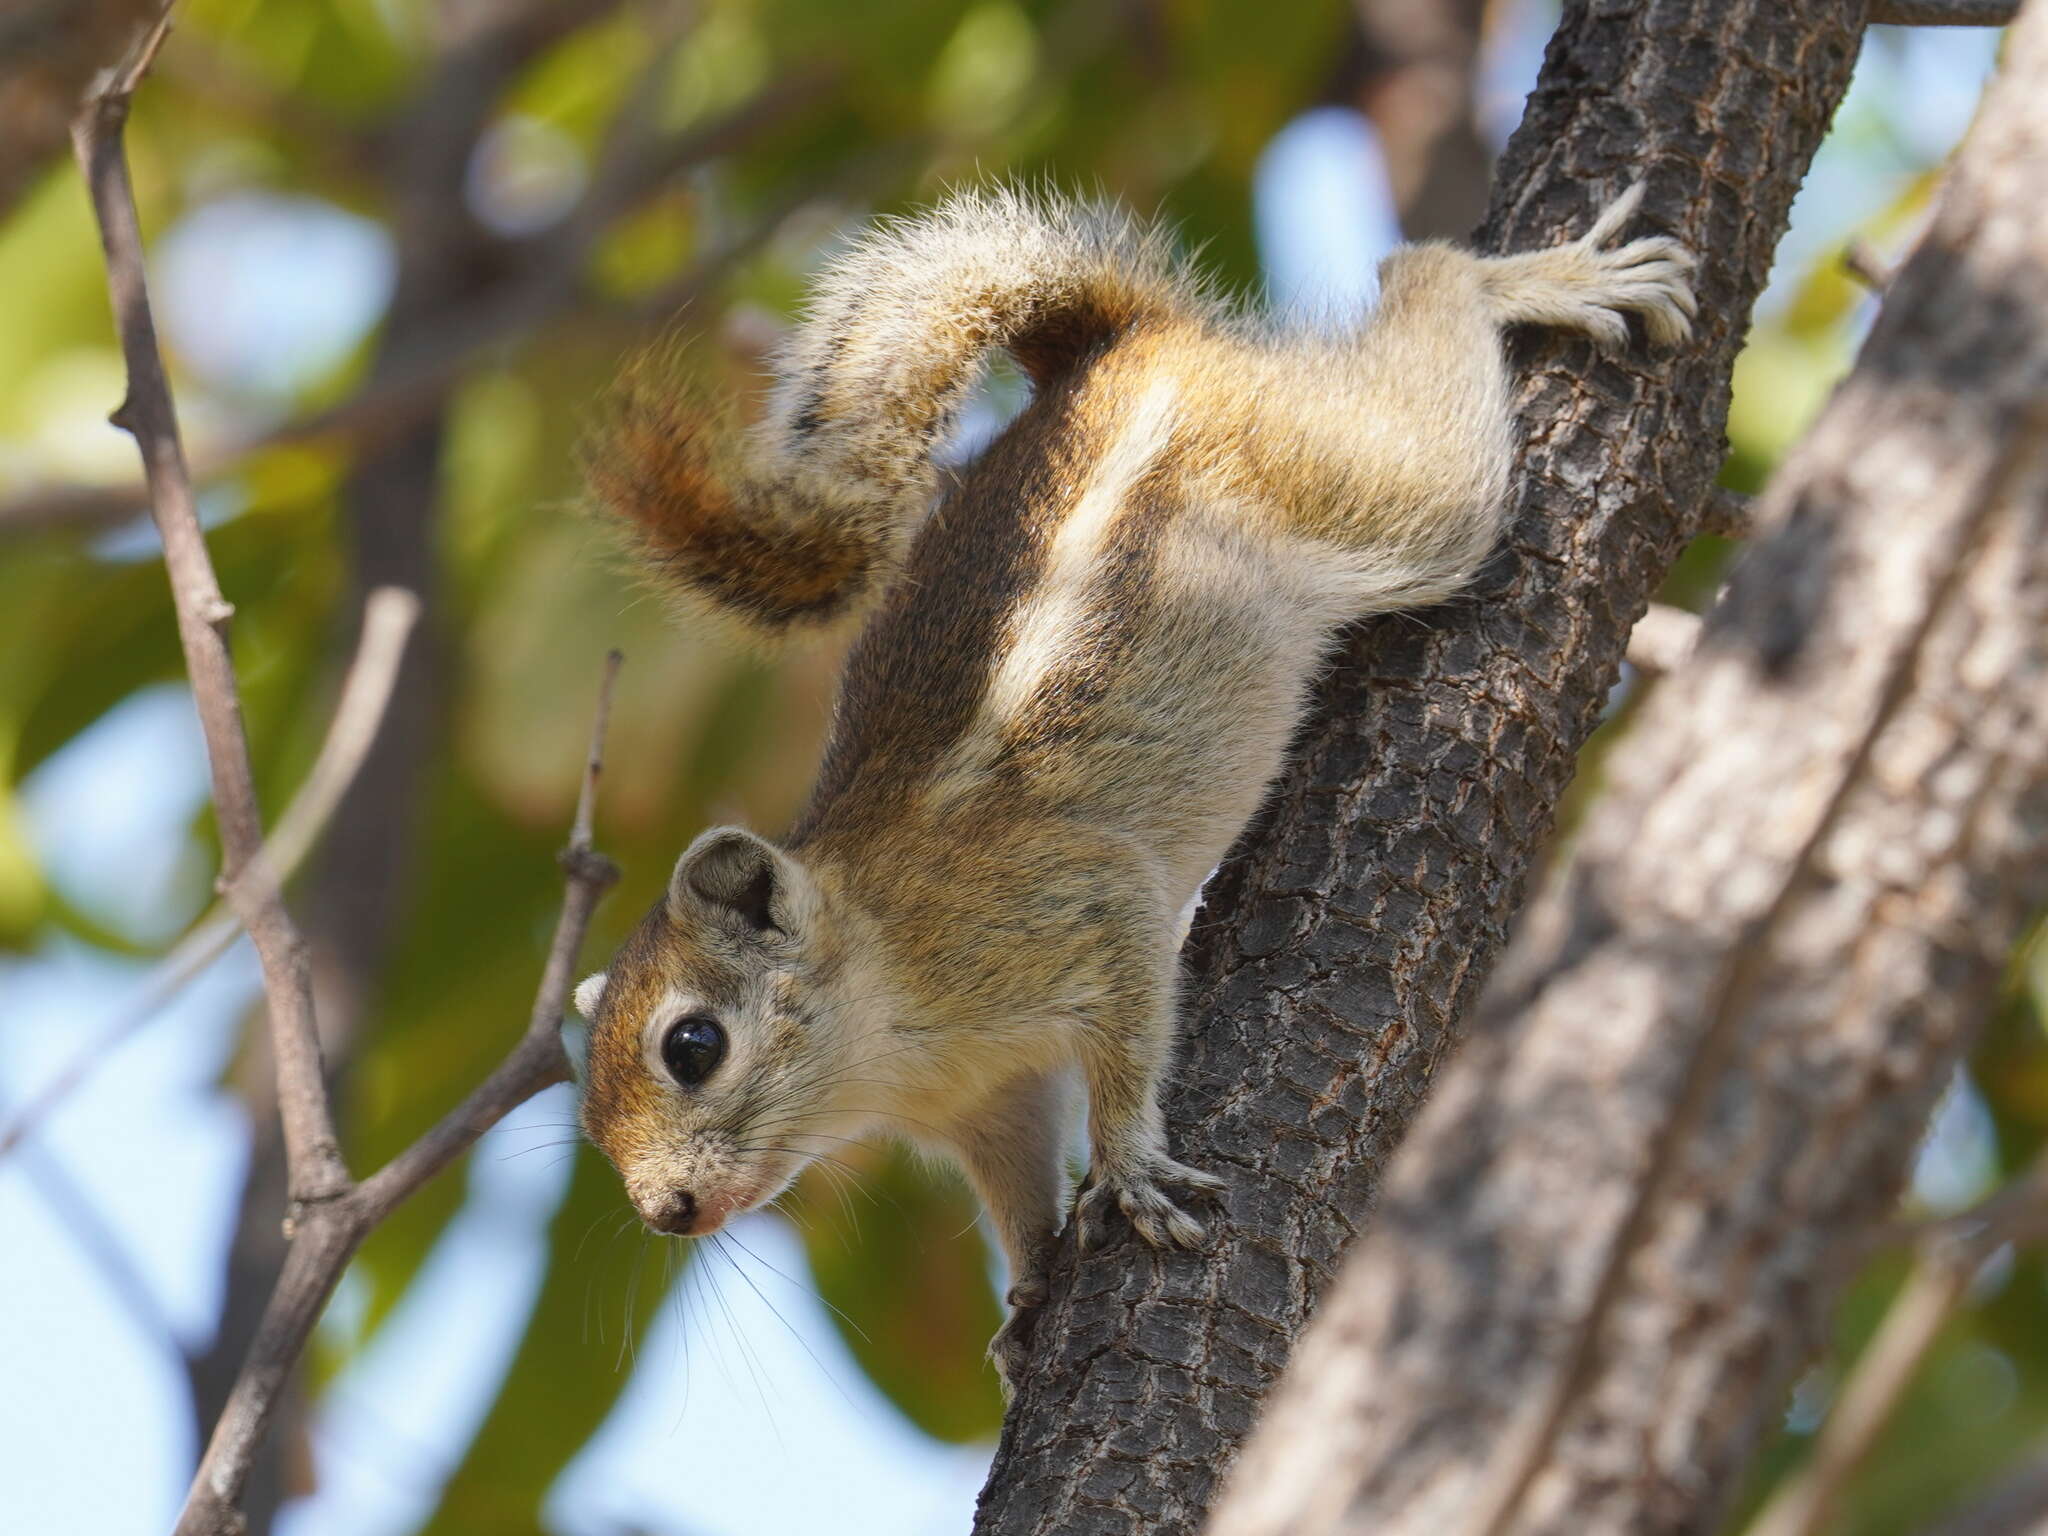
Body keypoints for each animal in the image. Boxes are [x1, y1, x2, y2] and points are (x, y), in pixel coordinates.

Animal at [565, 183, 1695, 1384]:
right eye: (585, 1109)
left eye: (692, 1046)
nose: (666, 1210)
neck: (878, 1001)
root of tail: (1132, 343)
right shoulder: (987, 1103)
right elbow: (1016, 1184)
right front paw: (1022, 1302)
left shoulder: (1080, 902)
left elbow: (1130, 1026)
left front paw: (1129, 1166)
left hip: (1387, 495)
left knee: (1423, 297)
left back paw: (1537, 280)